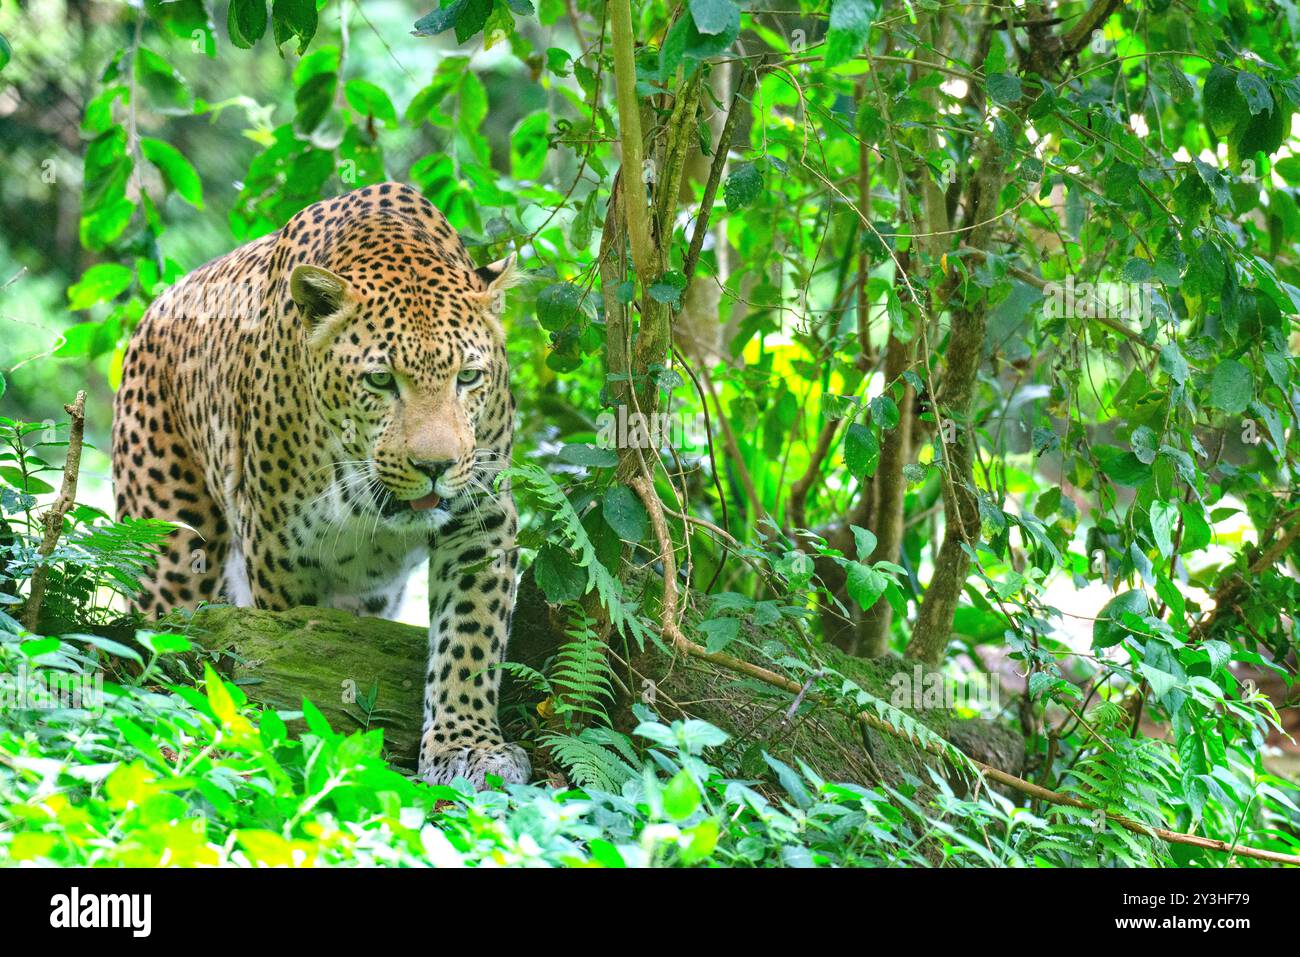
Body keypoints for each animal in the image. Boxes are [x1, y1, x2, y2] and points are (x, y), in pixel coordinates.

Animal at [110, 183, 527, 790]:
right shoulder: (280, 556)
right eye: (381, 380)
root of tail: (154, 310)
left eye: (468, 377)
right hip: (172, 554)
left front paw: (467, 745)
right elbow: (288, 650)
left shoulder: (481, 515)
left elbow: (471, 638)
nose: (435, 466)